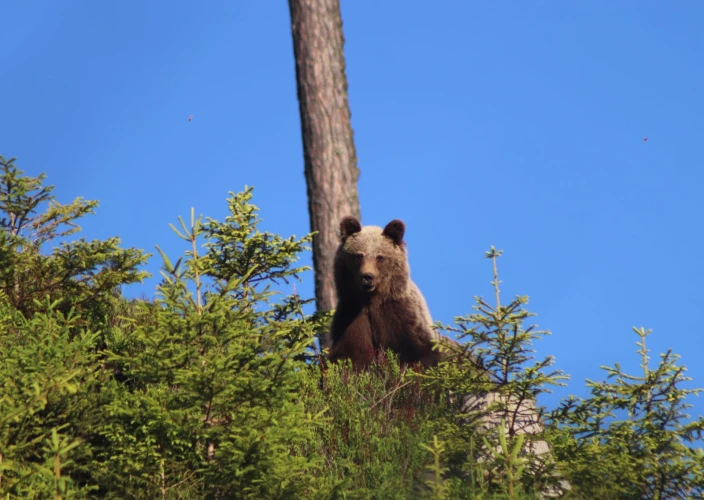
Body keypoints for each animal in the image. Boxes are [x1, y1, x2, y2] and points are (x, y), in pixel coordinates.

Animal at [327, 216, 442, 370]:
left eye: (380, 257)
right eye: (359, 255)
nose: (367, 276)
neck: (371, 300)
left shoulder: (399, 316)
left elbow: (417, 353)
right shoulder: (351, 317)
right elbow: (350, 356)